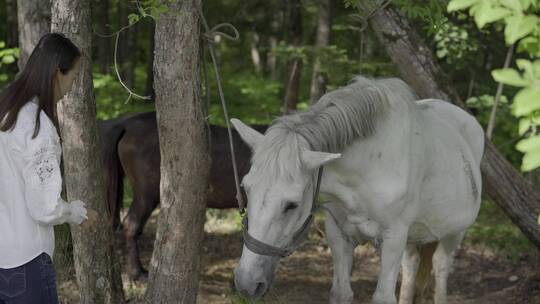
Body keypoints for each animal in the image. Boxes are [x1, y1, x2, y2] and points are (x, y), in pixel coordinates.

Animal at [232, 76, 486, 304]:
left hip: (454, 232)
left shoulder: (394, 238)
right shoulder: (338, 234)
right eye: (246, 189)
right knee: (412, 264)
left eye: (291, 204)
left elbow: (383, 297)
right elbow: (341, 293)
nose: (246, 283)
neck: (369, 169)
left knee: (441, 266)